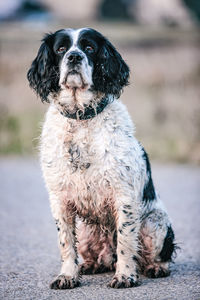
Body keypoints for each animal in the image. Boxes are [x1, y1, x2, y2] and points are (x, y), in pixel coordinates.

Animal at [27, 27, 175, 288]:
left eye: (89, 48)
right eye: (61, 49)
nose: (74, 57)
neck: (81, 118)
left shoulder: (123, 195)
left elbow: (126, 241)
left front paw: (125, 275)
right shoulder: (59, 198)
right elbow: (66, 243)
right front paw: (67, 275)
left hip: (154, 222)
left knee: (154, 254)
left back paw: (156, 267)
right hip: (88, 232)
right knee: (97, 255)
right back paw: (89, 265)